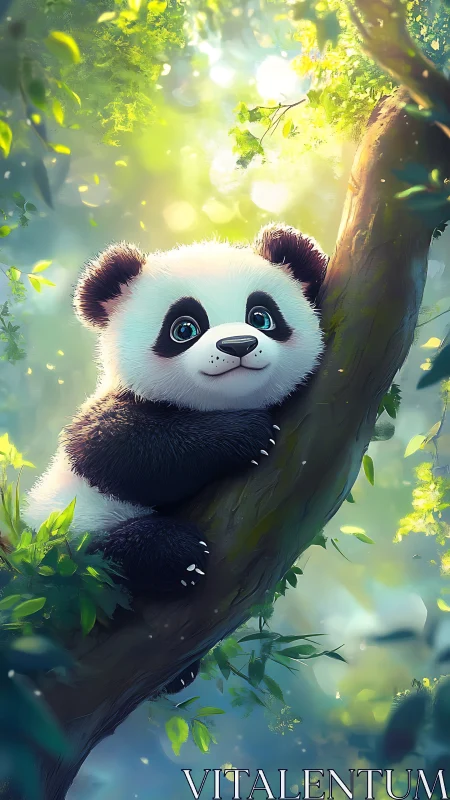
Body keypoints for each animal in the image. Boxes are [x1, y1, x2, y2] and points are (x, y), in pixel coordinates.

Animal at [23, 222, 327, 599]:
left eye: (261, 317)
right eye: (184, 328)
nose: (238, 345)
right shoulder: (110, 409)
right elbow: (117, 447)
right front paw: (248, 434)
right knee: (88, 566)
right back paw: (175, 554)